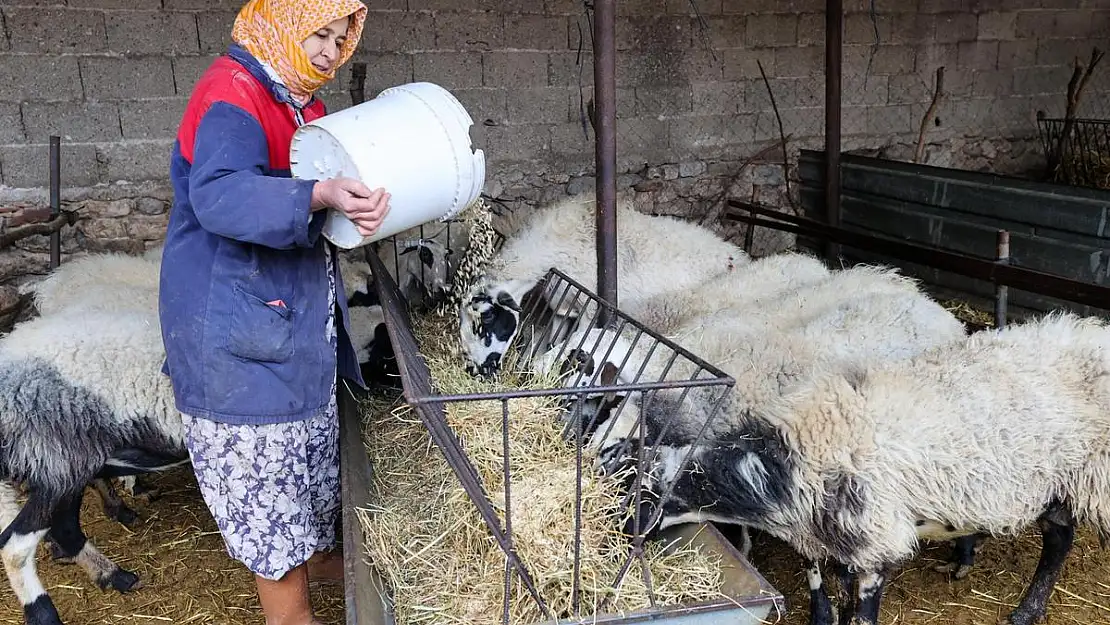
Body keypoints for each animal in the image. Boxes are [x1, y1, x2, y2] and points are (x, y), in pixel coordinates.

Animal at [0, 308, 188, 625]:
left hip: (67, 466)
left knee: (64, 528)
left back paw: (113, 575)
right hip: (59, 460)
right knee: (16, 545)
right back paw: (43, 613)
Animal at [455, 190, 750, 377]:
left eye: (487, 319)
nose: (477, 372)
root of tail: (741, 257)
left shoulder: (589, 309)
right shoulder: (563, 306)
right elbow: (553, 339)